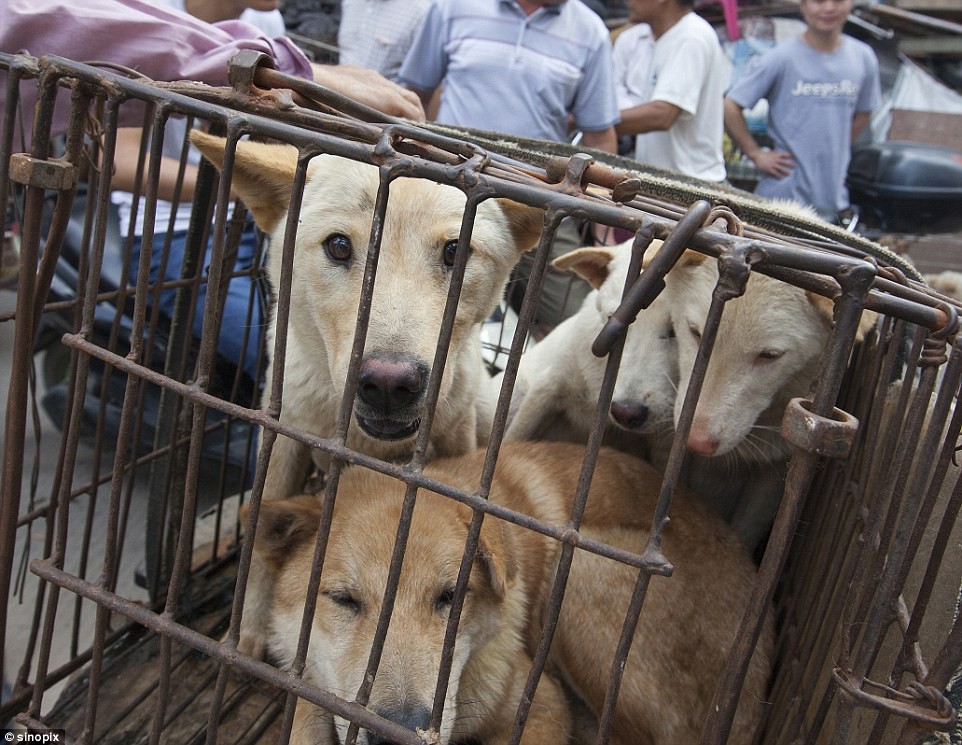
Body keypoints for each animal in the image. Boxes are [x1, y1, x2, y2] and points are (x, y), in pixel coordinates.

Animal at [253, 442, 772, 744]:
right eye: (344, 600)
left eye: (450, 597)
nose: (397, 732)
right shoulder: (309, 681)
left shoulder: (540, 703)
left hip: (579, 574)